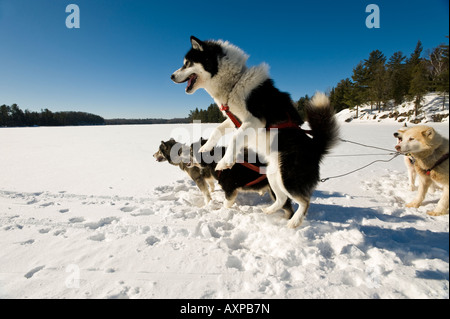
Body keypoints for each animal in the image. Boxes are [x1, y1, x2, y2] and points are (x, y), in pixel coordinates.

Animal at [171, 37, 338, 228]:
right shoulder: (235, 119)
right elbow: (217, 130)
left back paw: (293, 222)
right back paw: (269, 211)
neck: (234, 82)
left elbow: (234, 138)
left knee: (304, 201)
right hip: (273, 175)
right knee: (281, 199)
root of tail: (315, 146)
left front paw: (225, 161)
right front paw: (206, 148)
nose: (171, 76)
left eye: (187, 63)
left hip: (287, 177)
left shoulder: (254, 121)